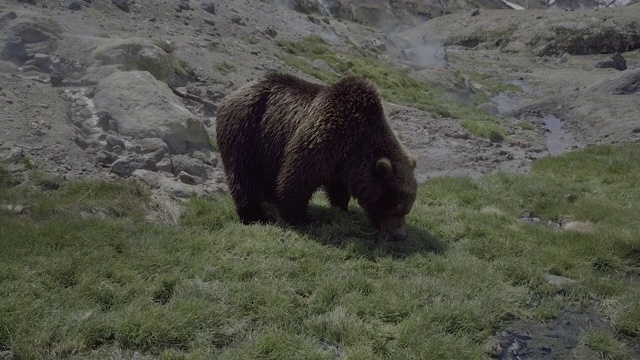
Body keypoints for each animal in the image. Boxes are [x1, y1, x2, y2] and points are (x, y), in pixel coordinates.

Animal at [212, 72, 418, 242]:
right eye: (394, 208)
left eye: (406, 209)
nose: (401, 236)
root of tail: (232, 95)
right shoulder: (325, 137)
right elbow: (298, 177)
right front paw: (301, 217)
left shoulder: (343, 162)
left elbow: (338, 186)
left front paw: (343, 207)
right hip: (247, 132)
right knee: (244, 176)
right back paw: (255, 214)